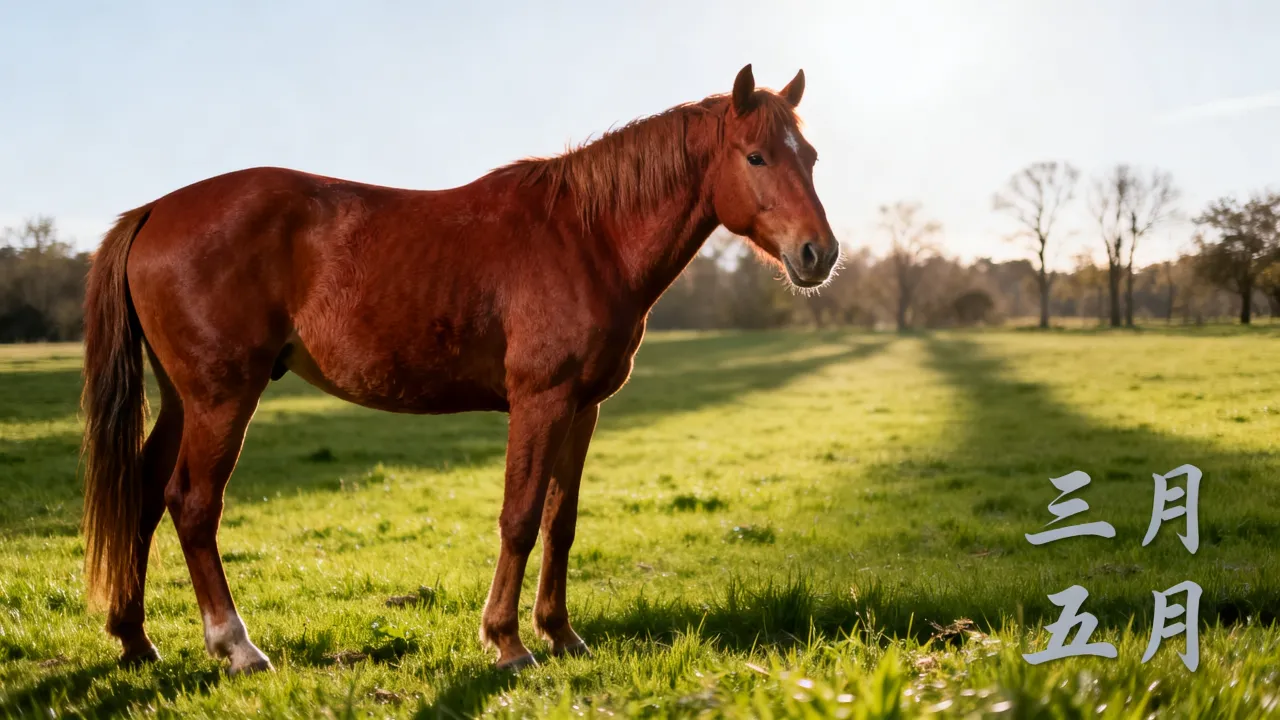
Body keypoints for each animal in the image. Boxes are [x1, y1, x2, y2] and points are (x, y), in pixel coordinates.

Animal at [79, 64, 839, 674]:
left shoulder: (583, 407)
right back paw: (236, 646)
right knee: (192, 504)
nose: (818, 254)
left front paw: (560, 633)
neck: (587, 236)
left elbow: (561, 522)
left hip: (184, 401)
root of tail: (154, 211)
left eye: (811, 157)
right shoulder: (540, 400)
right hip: (222, 399)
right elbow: (520, 517)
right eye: (756, 156)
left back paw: (134, 639)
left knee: (144, 497)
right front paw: (507, 641)